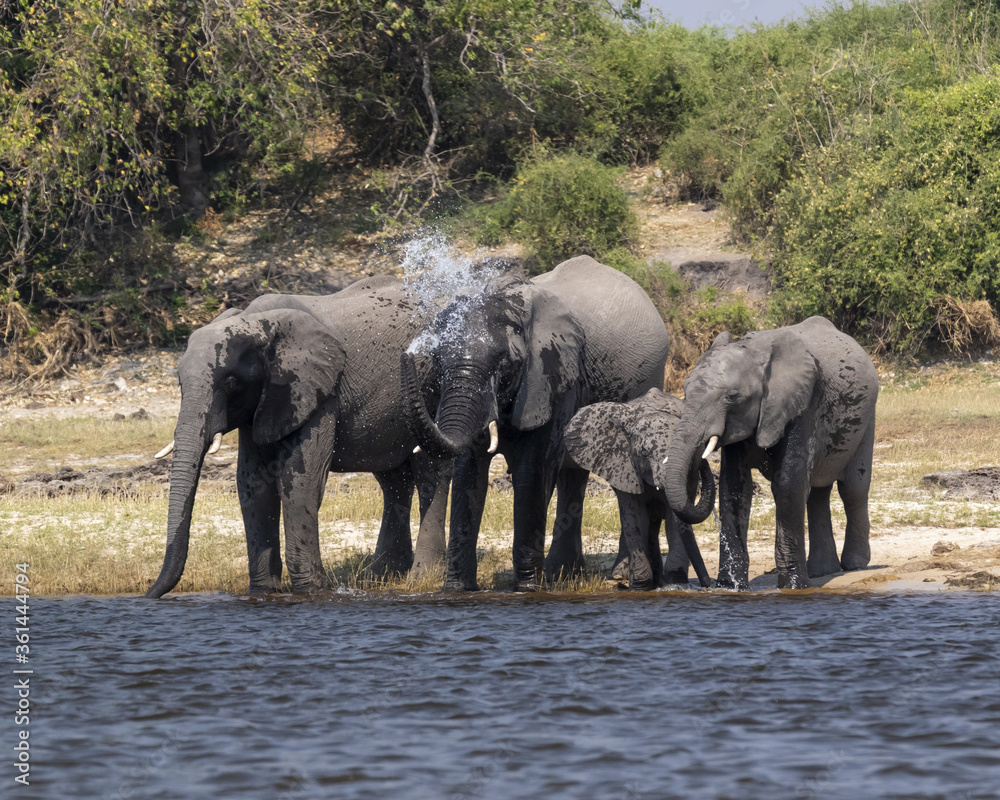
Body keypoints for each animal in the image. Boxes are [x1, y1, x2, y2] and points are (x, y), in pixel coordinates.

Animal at [145, 276, 451, 599]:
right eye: (179, 383)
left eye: (230, 382)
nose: (150, 595)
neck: (255, 322)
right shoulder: (265, 402)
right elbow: (253, 484)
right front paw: (264, 591)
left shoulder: (317, 390)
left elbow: (300, 479)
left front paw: (311, 591)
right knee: (393, 478)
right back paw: (381, 575)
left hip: (433, 386)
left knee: (430, 469)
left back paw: (422, 577)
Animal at [401, 255, 670, 591]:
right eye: (437, 360)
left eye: (504, 362)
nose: (405, 358)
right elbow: (468, 470)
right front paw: (458, 590)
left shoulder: (553, 374)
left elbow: (533, 469)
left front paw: (528, 589)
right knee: (573, 474)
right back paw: (562, 574)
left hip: (648, 378)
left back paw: (616, 576)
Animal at [564, 389, 715, 589]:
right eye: (643, 454)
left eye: (691, 452)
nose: (707, 583)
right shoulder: (624, 467)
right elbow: (636, 518)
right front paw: (640, 587)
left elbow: (674, 522)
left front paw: (676, 583)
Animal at [663, 316, 879, 590]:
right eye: (685, 389)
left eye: (732, 396)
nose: (700, 456)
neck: (755, 353)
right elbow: (734, 487)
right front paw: (731, 587)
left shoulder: (802, 405)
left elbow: (788, 484)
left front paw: (793, 587)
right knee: (817, 493)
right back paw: (822, 571)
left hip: (868, 418)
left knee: (853, 488)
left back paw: (854, 564)